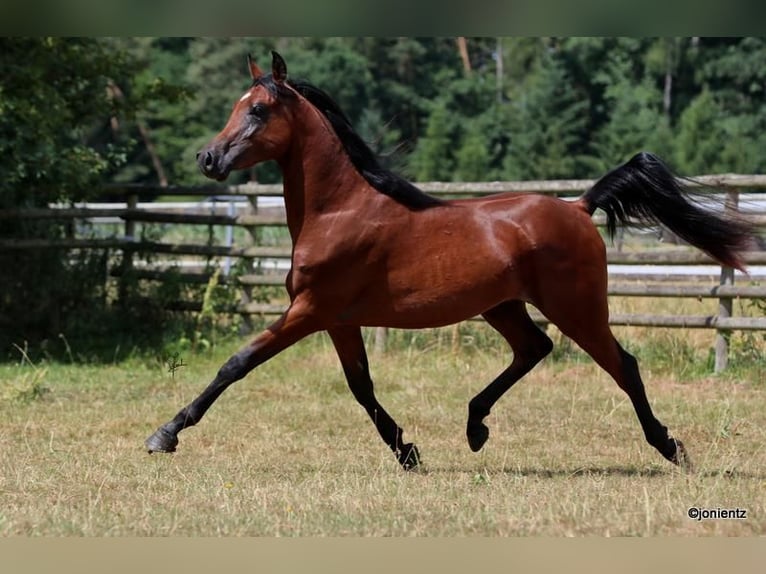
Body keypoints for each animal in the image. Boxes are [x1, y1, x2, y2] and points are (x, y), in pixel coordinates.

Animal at [146, 51, 755, 471]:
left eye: (258, 109)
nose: (207, 158)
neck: (338, 210)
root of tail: (579, 207)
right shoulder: (338, 320)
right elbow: (361, 388)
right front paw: (408, 452)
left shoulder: (311, 311)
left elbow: (237, 363)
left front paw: (165, 434)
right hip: (502, 305)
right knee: (534, 349)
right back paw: (475, 426)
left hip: (577, 307)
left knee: (621, 365)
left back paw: (669, 447)